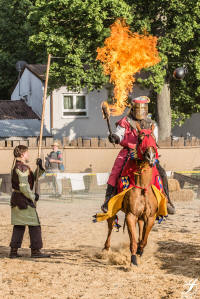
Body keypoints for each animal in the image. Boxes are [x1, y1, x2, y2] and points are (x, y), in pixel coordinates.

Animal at [104, 129, 160, 268]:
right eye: (140, 139)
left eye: (153, 138)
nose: (151, 156)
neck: (142, 187)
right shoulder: (130, 215)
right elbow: (133, 241)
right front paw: (133, 259)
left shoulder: (150, 217)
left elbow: (143, 239)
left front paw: (140, 251)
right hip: (112, 210)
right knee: (110, 225)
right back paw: (106, 249)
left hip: (141, 217)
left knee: (139, 228)